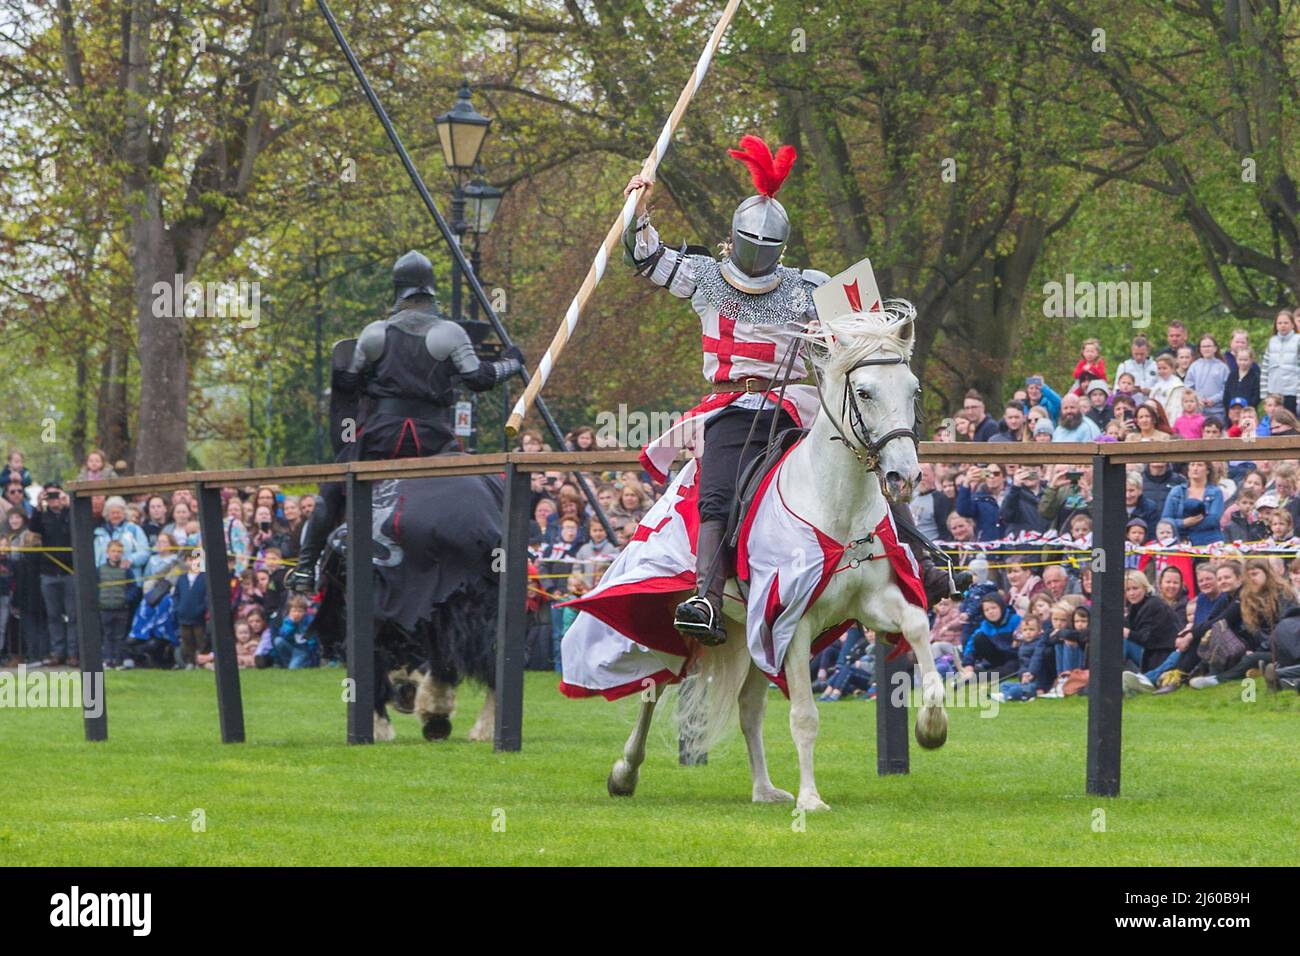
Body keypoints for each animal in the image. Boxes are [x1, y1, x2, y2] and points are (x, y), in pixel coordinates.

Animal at [608, 304, 946, 806]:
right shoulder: (793, 618)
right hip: (679, 618)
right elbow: (804, 716)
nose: (903, 476)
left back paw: (764, 789)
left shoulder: (868, 603)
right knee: (655, 685)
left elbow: (918, 625)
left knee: (748, 708)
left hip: (750, 630)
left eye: (913, 390)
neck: (835, 508)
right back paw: (625, 772)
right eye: (864, 392)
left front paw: (932, 725)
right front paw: (811, 798)